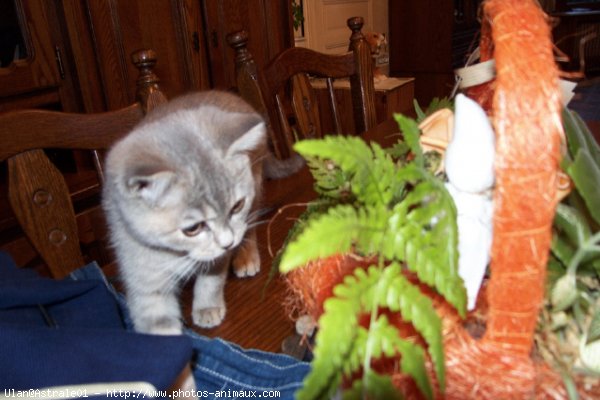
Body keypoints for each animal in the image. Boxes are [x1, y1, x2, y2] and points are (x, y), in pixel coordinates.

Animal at [103, 90, 290, 334]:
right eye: (192, 228)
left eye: (237, 206)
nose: (228, 243)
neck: (175, 252)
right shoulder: (140, 268)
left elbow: (211, 279)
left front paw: (207, 307)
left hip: (256, 185)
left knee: (249, 226)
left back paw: (246, 256)